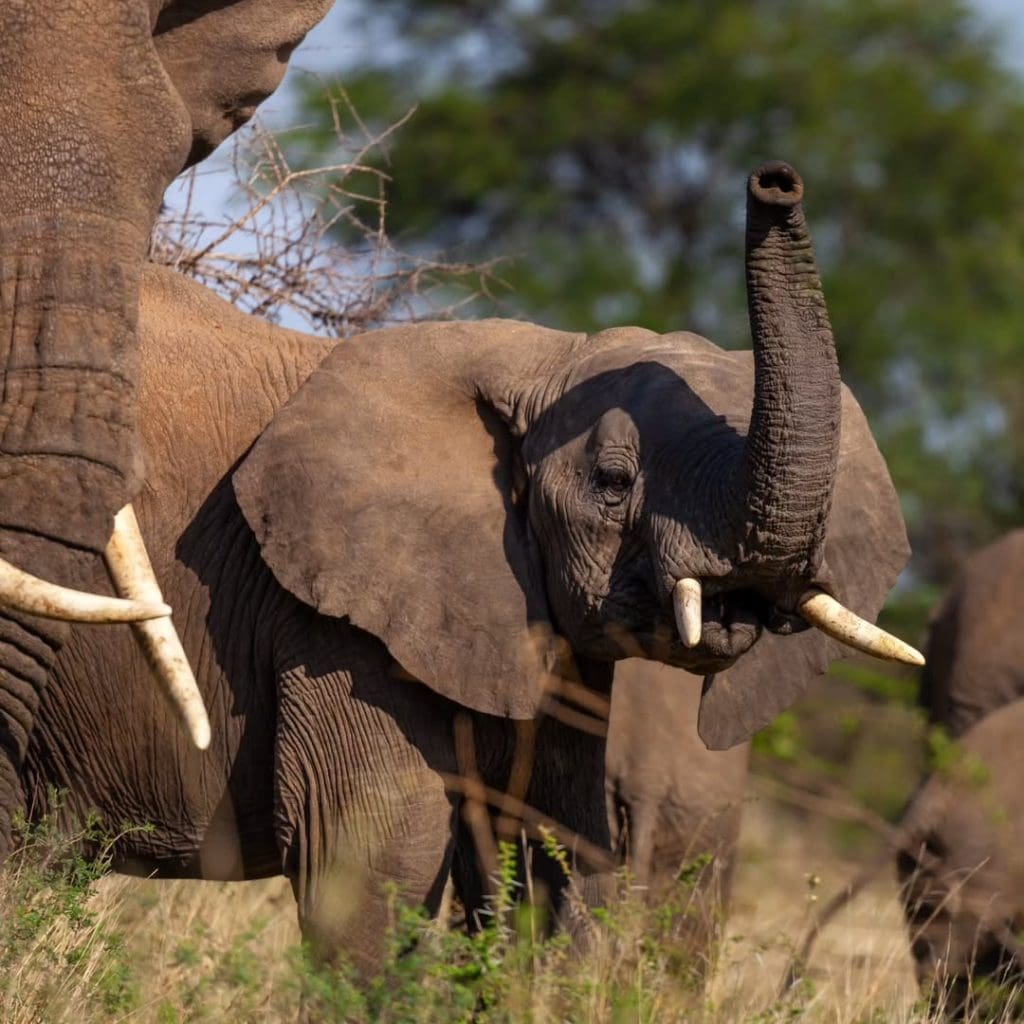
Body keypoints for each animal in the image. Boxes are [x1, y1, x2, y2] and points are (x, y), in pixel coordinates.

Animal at [22, 164, 915, 972]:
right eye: (614, 481)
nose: (776, 182)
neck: (531, 357)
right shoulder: (329, 626)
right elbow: (377, 862)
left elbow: (549, 858)